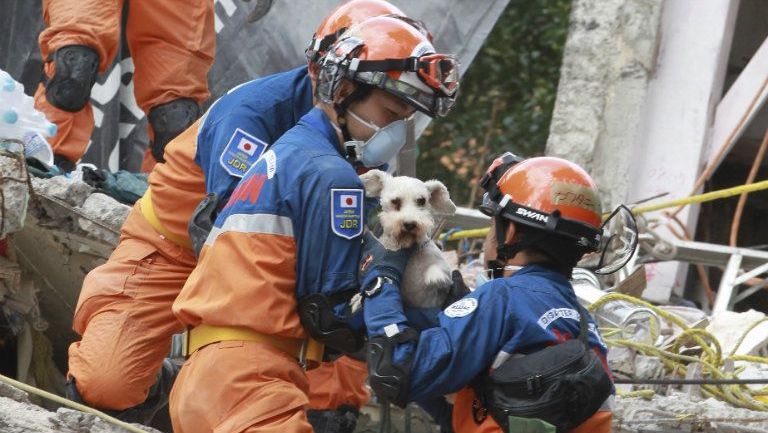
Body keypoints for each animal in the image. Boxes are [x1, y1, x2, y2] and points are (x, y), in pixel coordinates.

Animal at [360, 169, 456, 308]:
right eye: (395, 201)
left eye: (422, 200)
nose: (410, 224)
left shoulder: (446, 277)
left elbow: (438, 270)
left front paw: (434, 277)